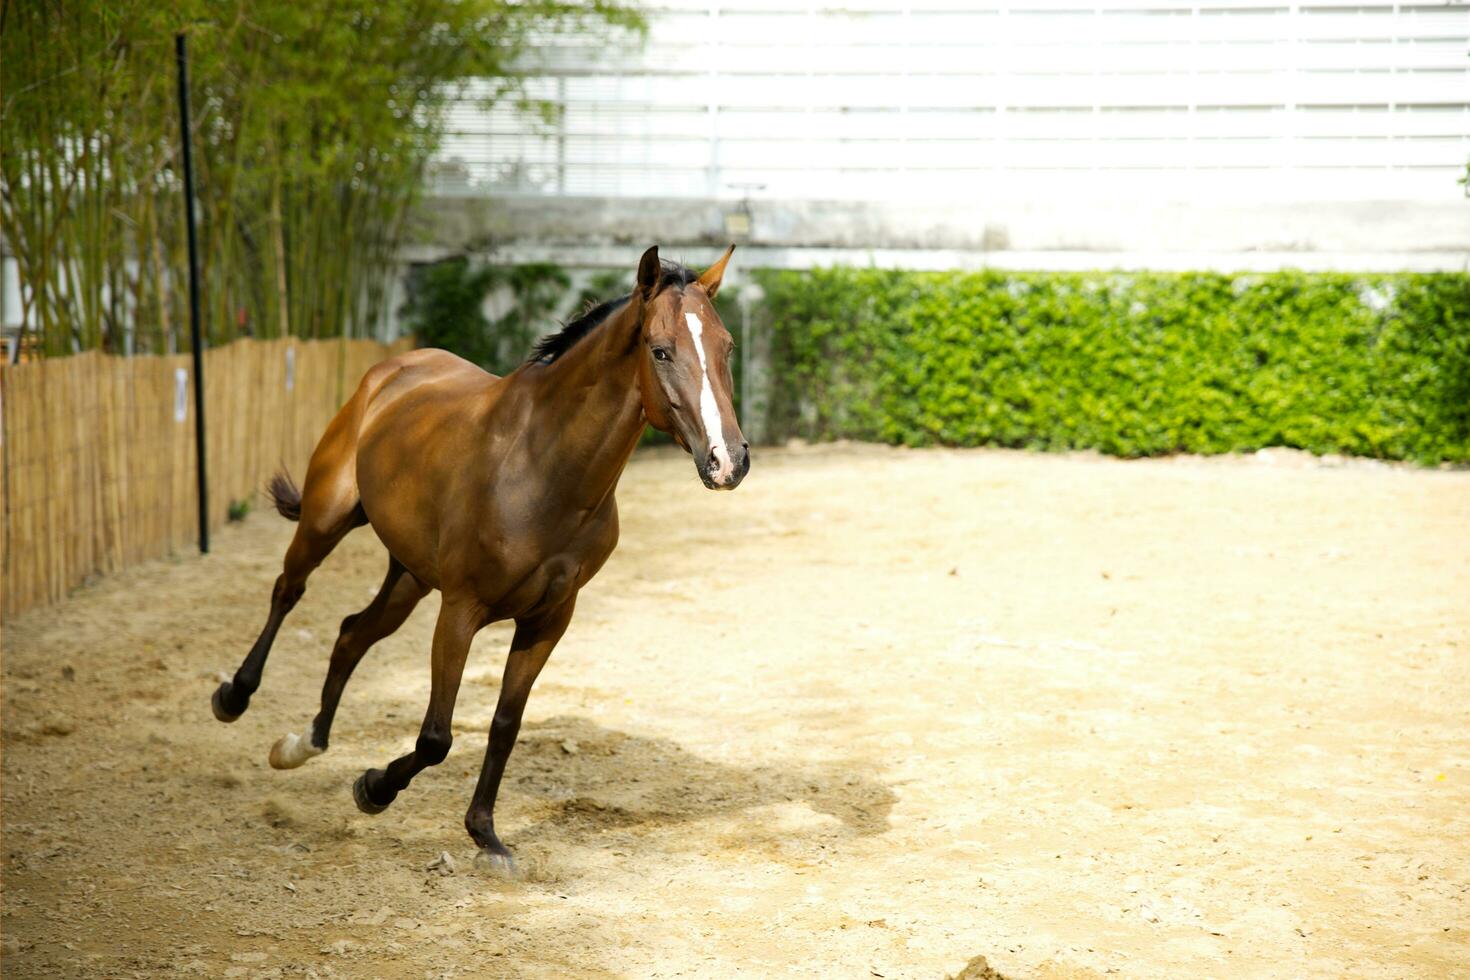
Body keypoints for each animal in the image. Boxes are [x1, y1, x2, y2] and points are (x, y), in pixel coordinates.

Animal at [210, 243, 746, 863]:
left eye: (726, 346)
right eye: (660, 351)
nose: (728, 460)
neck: (541, 466)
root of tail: (391, 372)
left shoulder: (548, 619)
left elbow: (505, 723)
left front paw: (485, 835)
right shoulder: (460, 611)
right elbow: (436, 737)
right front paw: (374, 788)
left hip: (409, 577)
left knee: (350, 635)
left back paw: (304, 744)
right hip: (325, 522)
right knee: (288, 592)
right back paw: (235, 697)